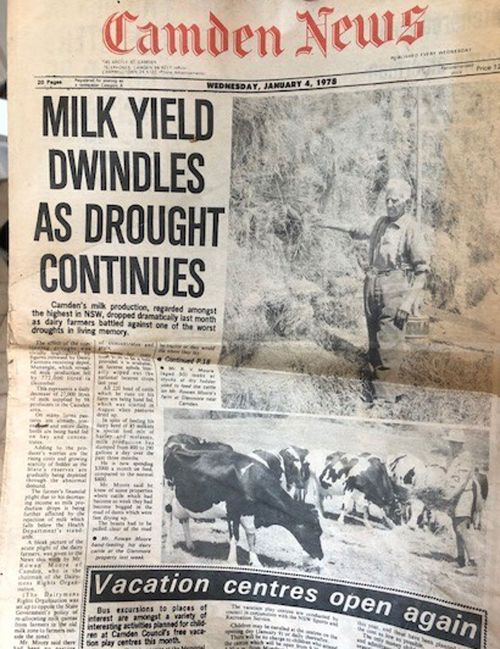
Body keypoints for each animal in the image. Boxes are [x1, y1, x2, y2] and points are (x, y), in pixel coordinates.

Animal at [162, 446, 322, 568]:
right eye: (316, 532)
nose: (321, 556)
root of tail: (174, 449)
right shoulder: (233, 512)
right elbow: (235, 537)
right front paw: (233, 561)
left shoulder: (249, 514)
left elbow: (251, 537)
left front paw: (255, 561)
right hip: (168, 496)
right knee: (169, 521)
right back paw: (169, 548)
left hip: (183, 499)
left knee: (185, 520)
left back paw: (190, 545)